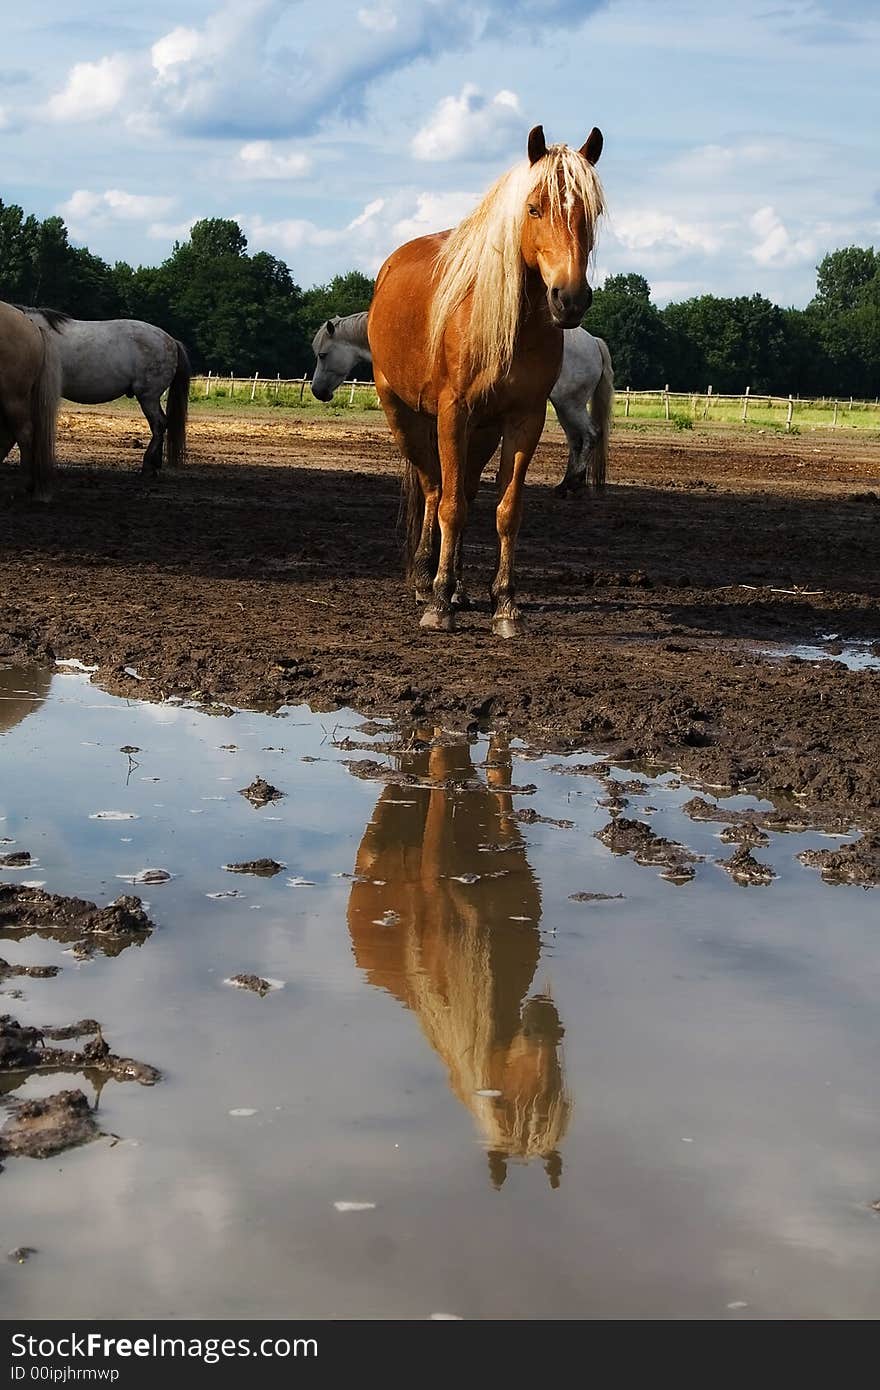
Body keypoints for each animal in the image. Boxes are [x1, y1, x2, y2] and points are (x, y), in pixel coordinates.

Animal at [314, 315, 611, 494]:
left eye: (323, 354)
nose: (318, 391)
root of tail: (593, 342)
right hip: (565, 407)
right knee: (576, 440)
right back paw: (569, 483)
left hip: (569, 404)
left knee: (589, 435)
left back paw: (571, 484)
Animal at [364, 125, 603, 636]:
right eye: (533, 208)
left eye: (590, 213)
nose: (570, 298)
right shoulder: (453, 413)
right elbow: (450, 506)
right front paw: (439, 606)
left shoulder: (524, 419)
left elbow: (506, 511)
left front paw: (505, 605)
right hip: (404, 415)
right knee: (435, 490)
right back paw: (427, 582)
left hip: (483, 430)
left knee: (465, 492)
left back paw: (456, 585)